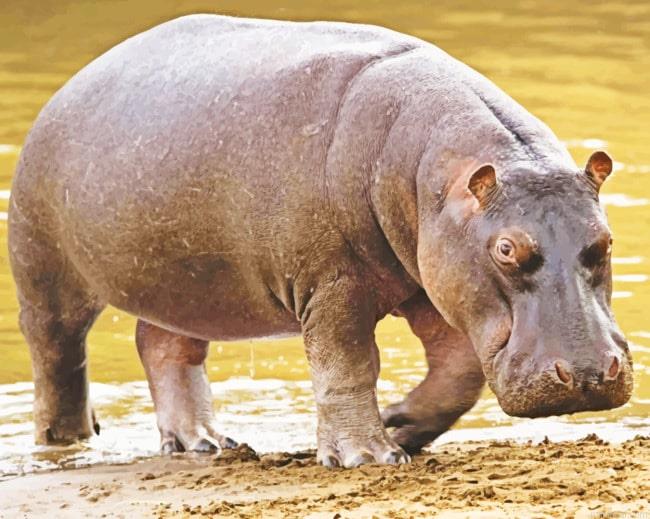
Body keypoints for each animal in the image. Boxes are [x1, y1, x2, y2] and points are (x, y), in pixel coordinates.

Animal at [8, 14, 632, 468]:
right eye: (506, 249)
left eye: (604, 240)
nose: (585, 377)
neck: (437, 176)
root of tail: (72, 83)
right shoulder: (331, 285)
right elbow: (348, 364)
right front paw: (368, 457)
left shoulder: (433, 283)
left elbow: (458, 373)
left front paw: (401, 425)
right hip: (46, 273)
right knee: (58, 359)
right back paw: (64, 444)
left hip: (183, 282)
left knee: (164, 348)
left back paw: (205, 444)